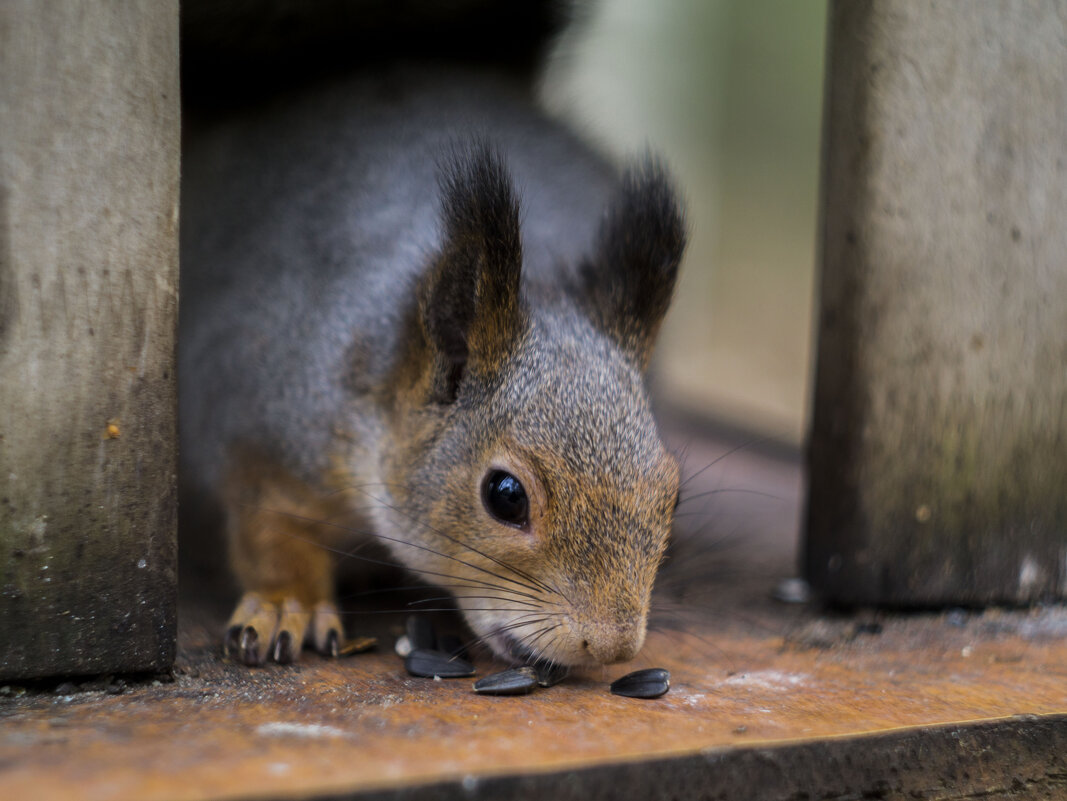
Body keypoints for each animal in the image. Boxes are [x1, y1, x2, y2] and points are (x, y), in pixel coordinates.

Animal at [179, 64, 687, 669]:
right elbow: (270, 527)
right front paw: (287, 603)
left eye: (672, 494)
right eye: (505, 496)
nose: (611, 646)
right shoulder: (268, 423)